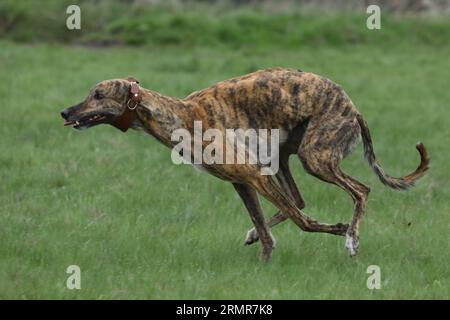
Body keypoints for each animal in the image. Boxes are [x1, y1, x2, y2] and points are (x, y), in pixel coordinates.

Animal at [59, 67, 428, 260]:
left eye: (98, 94)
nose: (65, 112)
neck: (181, 115)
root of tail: (353, 108)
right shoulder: (243, 182)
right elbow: (266, 229)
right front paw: (263, 260)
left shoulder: (254, 176)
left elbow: (303, 222)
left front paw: (339, 230)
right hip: (284, 158)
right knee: (298, 199)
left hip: (315, 158)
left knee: (360, 191)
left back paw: (352, 238)